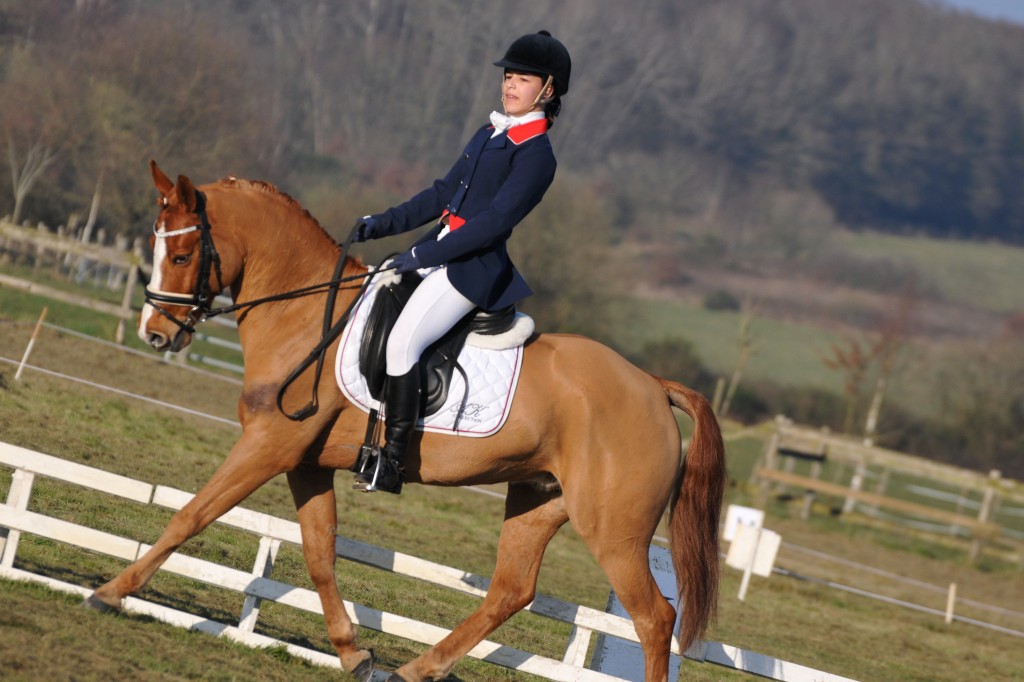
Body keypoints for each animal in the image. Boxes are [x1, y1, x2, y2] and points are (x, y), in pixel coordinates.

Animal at [88, 160, 729, 679]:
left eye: (181, 255)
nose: (155, 333)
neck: (306, 314)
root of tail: (652, 386)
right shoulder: (305, 462)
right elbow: (320, 555)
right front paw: (354, 654)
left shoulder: (268, 445)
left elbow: (191, 514)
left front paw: (112, 592)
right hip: (541, 497)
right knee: (512, 590)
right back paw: (416, 669)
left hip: (614, 530)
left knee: (654, 618)